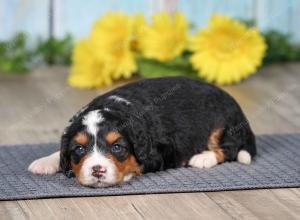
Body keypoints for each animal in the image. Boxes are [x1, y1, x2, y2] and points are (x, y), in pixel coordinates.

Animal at [28, 77, 255, 187]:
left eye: (117, 147)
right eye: (79, 149)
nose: (97, 170)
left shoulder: (161, 153)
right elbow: (60, 150)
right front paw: (45, 162)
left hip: (223, 124)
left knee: (229, 149)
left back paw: (203, 158)